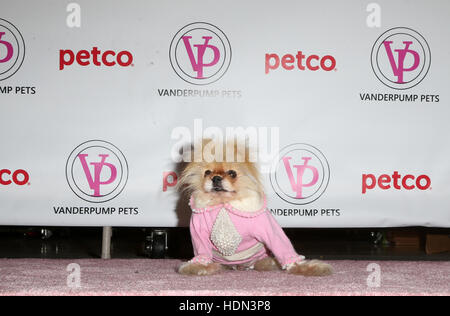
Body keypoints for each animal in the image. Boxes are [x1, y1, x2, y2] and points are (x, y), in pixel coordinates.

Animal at [178, 141, 332, 276]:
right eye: (207, 172)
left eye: (232, 173)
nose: (215, 178)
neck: (224, 204)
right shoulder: (198, 231)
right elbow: (201, 252)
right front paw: (199, 267)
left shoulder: (268, 229)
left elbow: (283, 248)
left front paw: (305, 267)